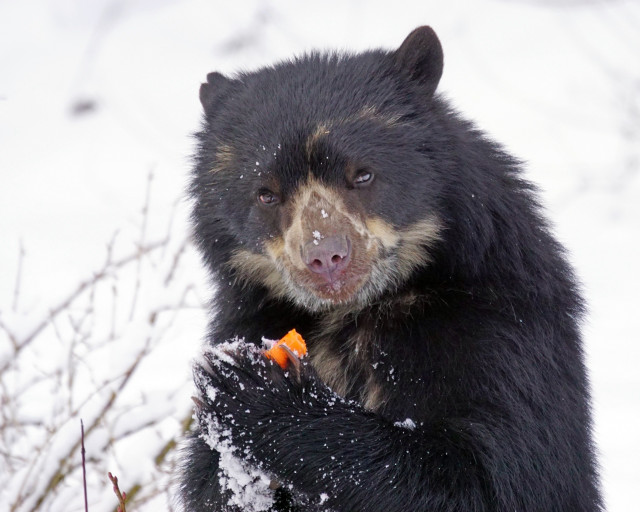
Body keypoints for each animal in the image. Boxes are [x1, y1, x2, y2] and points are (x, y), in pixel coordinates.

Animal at [179, 26, 603, 512]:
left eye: (362, 175)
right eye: (265, 194)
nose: (327, 259)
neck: (358, 311)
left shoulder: (499, 328)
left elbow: (493, 475)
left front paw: (253, 390)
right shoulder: (250, 316)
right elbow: (205, 484)